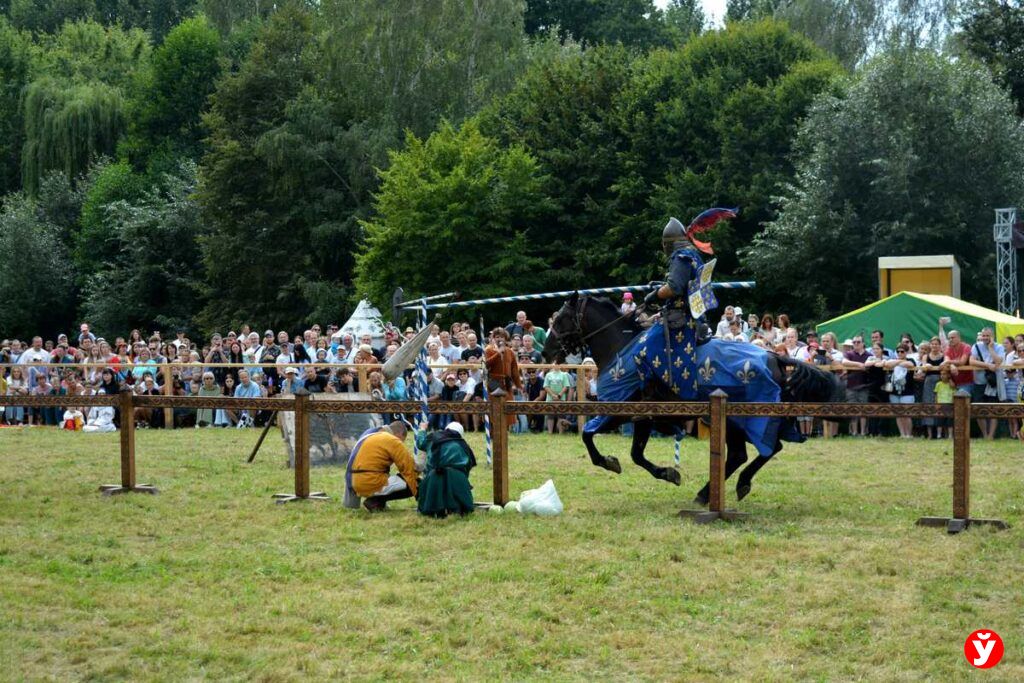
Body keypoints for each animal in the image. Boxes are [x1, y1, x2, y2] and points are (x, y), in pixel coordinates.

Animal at [540, 294, 843, 507]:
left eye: (560, 319)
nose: (546, 352)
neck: (621, 349)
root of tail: (774, 357)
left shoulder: (622, 411)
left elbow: (592, 438)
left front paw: (611, 462)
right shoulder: (644, 418)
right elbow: (635, 454)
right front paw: (668, 473)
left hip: (740, 419)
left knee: (757, 450)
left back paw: (721, 489)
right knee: (753, 452)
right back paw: (715, 491)